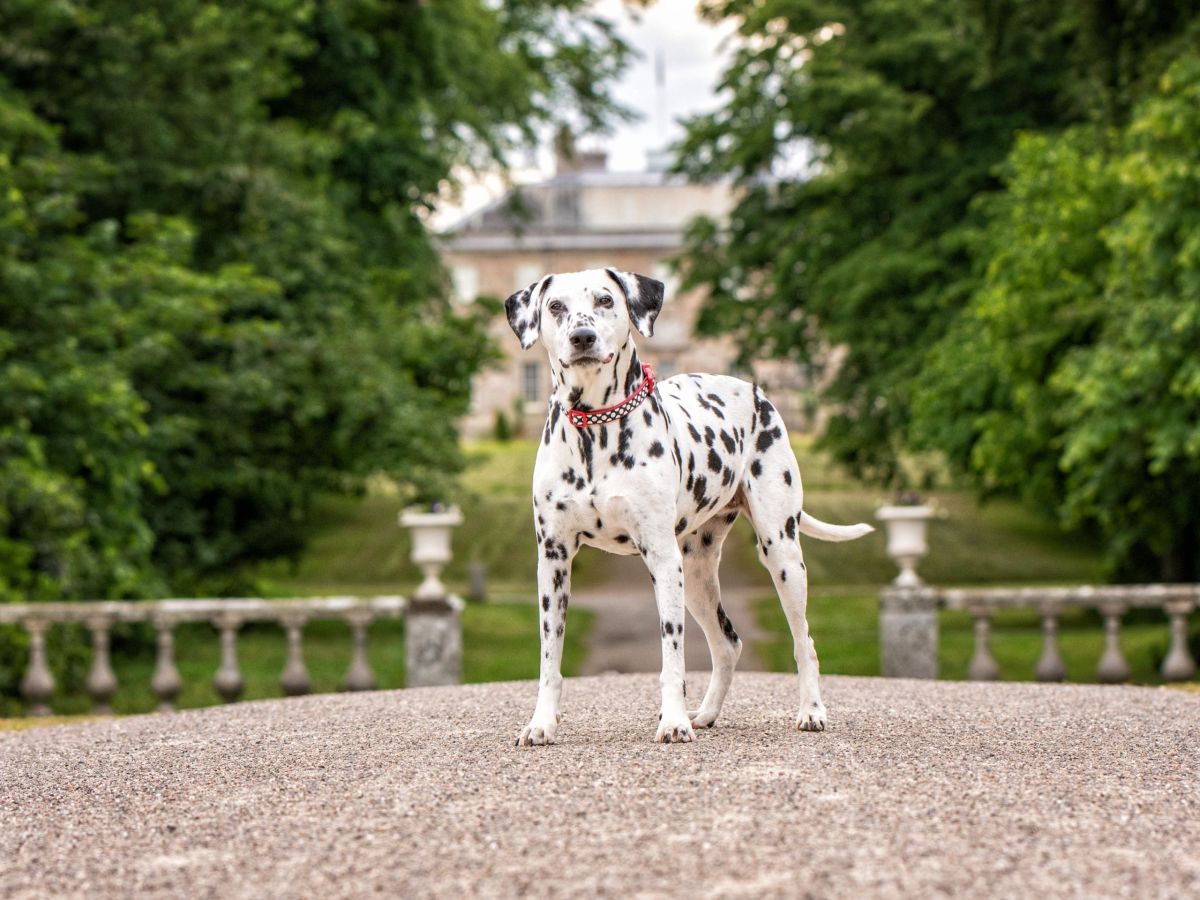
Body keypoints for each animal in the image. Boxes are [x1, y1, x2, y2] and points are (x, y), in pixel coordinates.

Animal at [504, 267, 873, 748]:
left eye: (606, 300)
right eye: (555, 307)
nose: (582, 337)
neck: (595, 432)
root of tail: (753, 388)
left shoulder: (661, 558)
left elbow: (672, 655)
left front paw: (673, 721)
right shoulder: (553, 561)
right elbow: (550, 659)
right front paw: (541, 723)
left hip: (780, 556)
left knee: (803, 641)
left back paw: (811, 711)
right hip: (696, 576)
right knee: (728, 644)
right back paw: (707, 714)